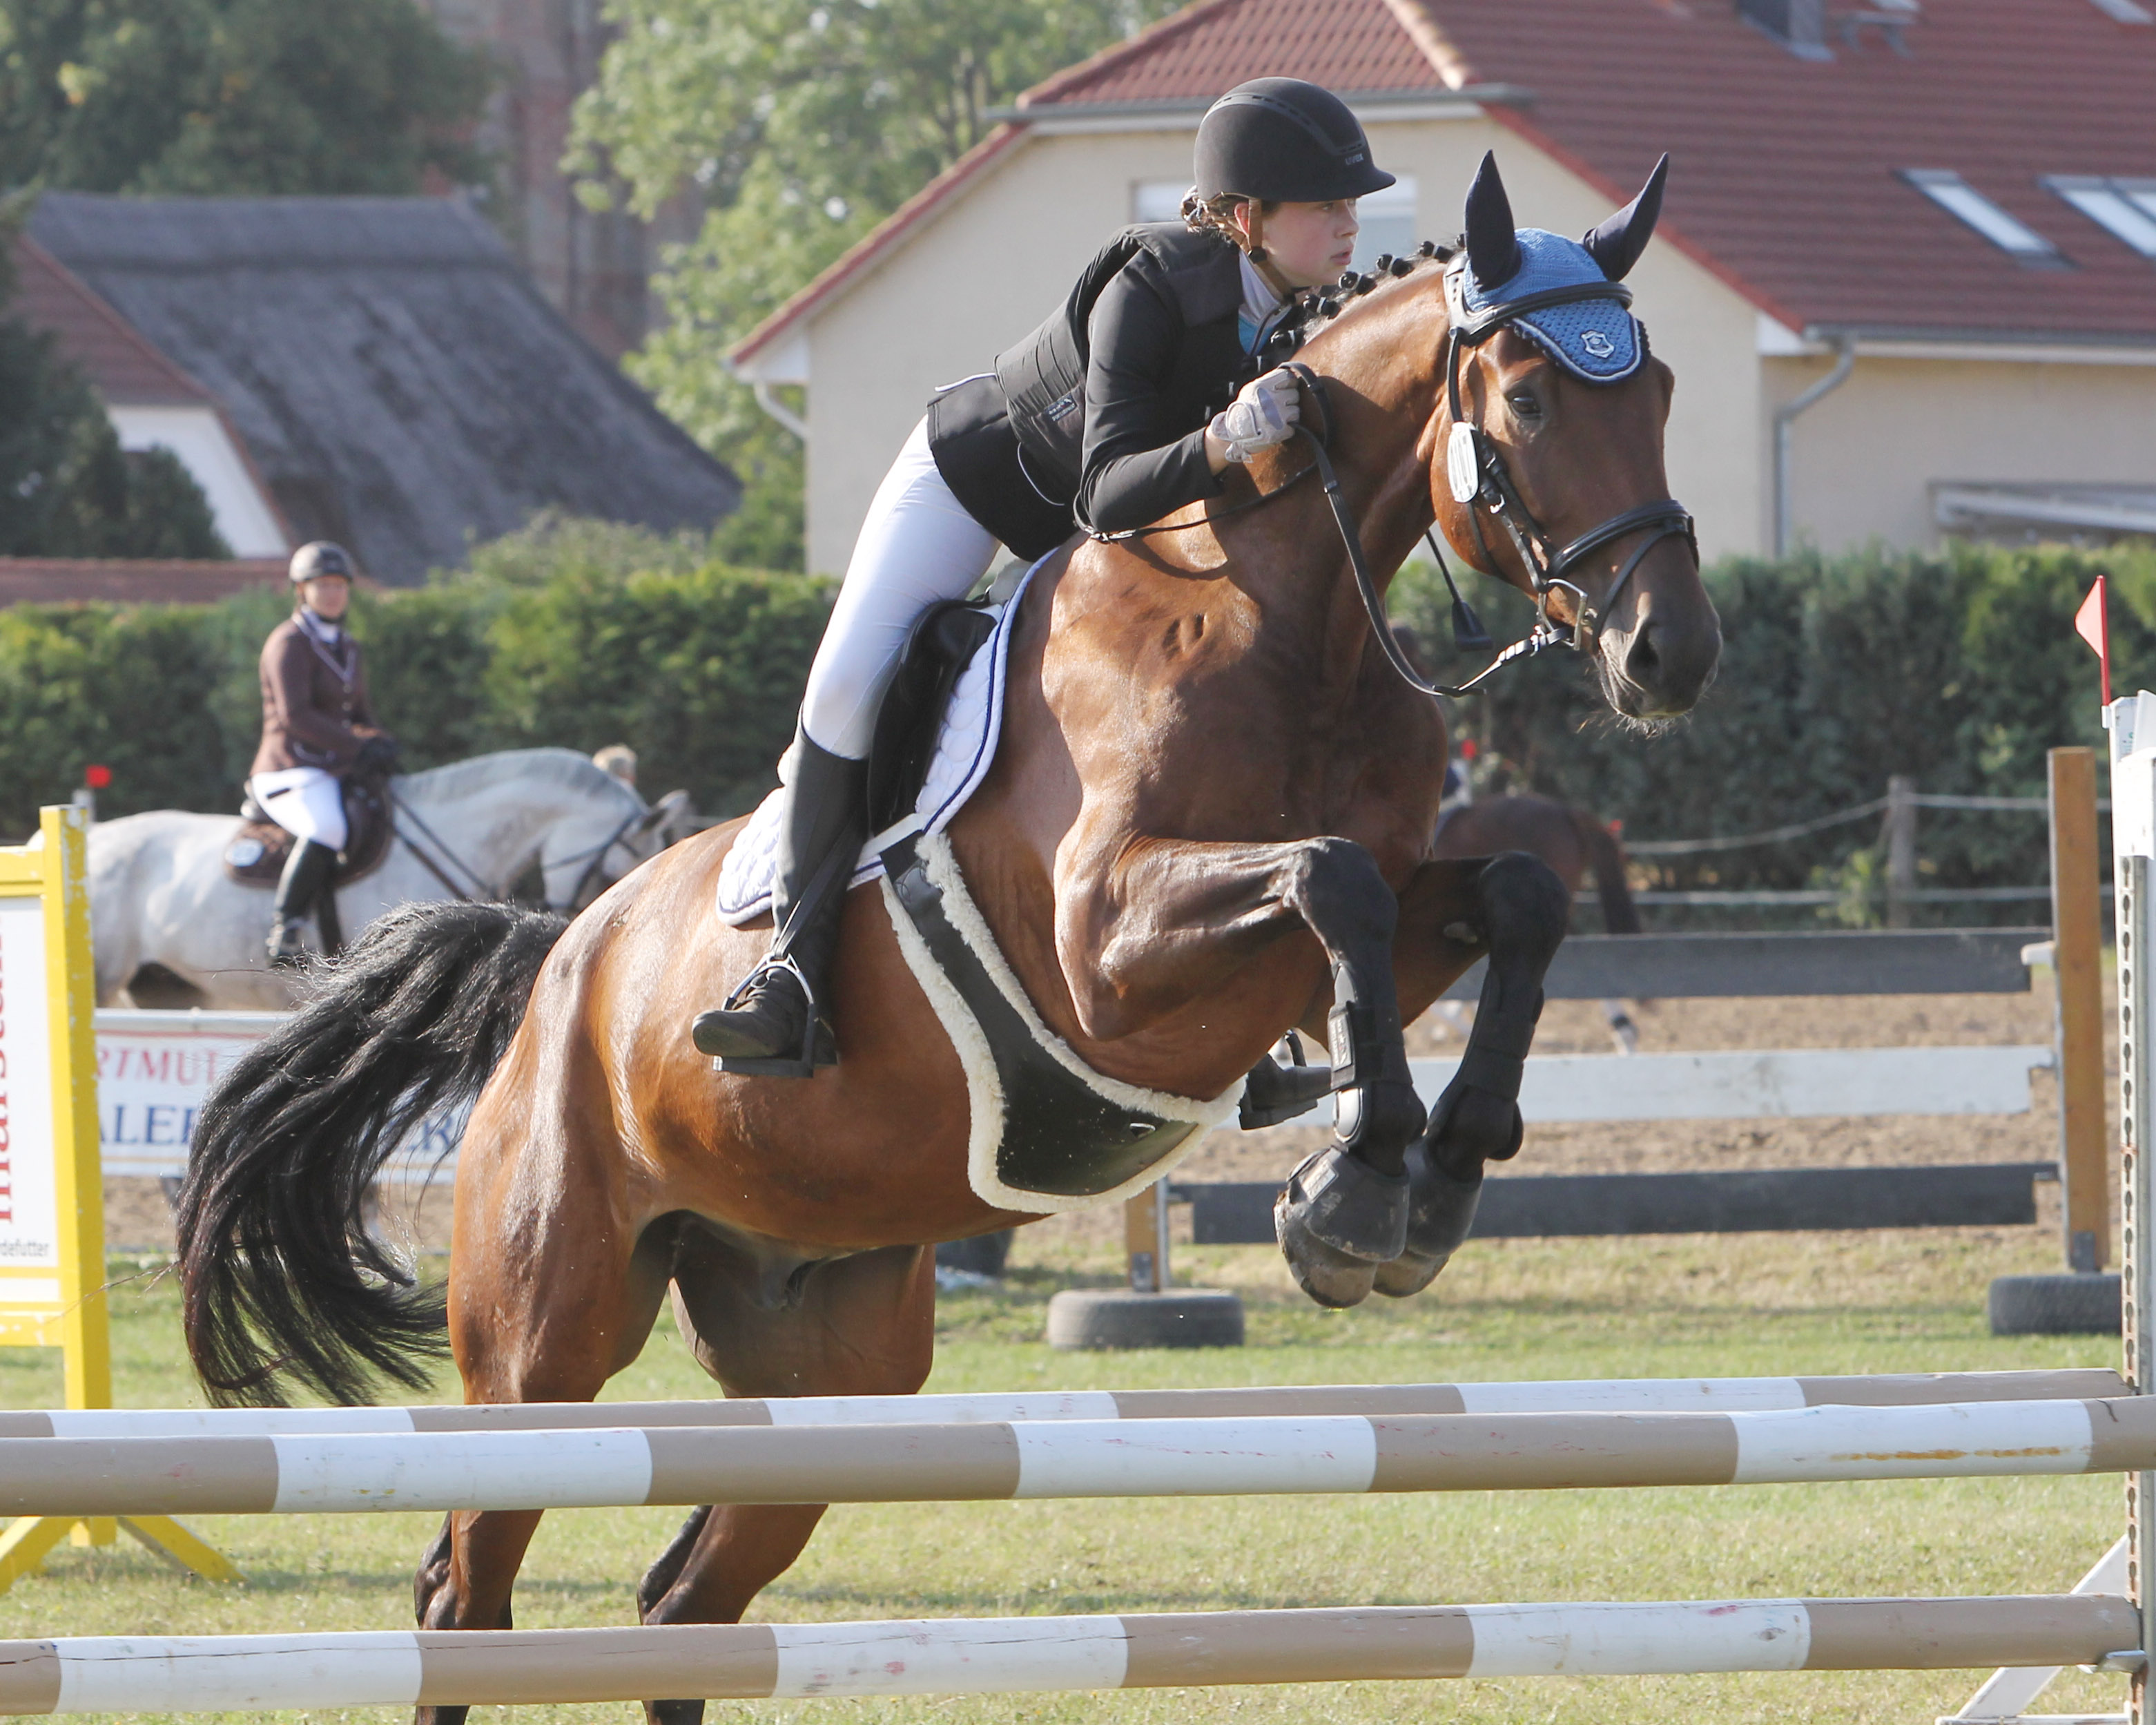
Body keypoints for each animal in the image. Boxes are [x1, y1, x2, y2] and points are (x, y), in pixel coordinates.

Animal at [177, 155, 1716, 1716]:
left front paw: (1434, 1173)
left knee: (683, 1601)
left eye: (1655, 388)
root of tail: (558, 958)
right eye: (1527, 400)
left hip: (834, 1351)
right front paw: (1347, 1193)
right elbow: (1332, 879)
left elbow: (1507, 895)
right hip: (547, 1337)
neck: (1296, 622)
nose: (1669, 655)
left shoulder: (1360, 926)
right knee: (465, 1588)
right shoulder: (1107, 949)